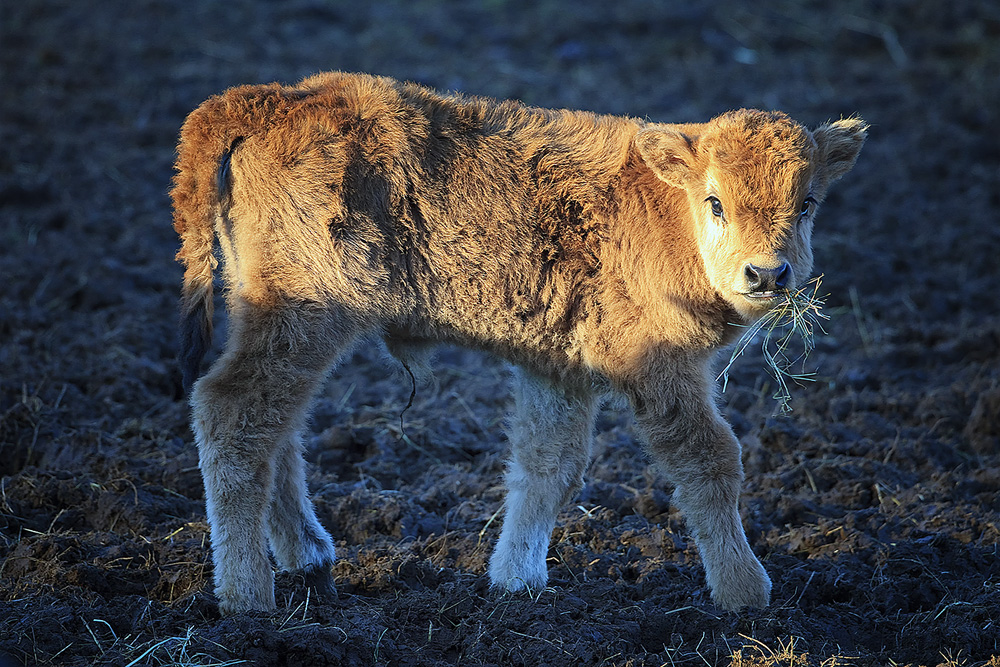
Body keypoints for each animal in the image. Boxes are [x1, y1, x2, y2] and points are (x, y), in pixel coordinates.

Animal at [172, 72, 868, 616]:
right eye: (716, 202)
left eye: (807, 204)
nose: (767, 275)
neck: (661, 208)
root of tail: (267, 101)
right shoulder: (658, 367)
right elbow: (709, 459)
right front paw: (746, 591)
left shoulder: (560, 372)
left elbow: (548, 464)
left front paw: (516, 579)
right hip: (305, 315)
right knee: (234, 413)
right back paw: (247, 597)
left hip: (272, 318)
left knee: (278, 427)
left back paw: (309, 557)